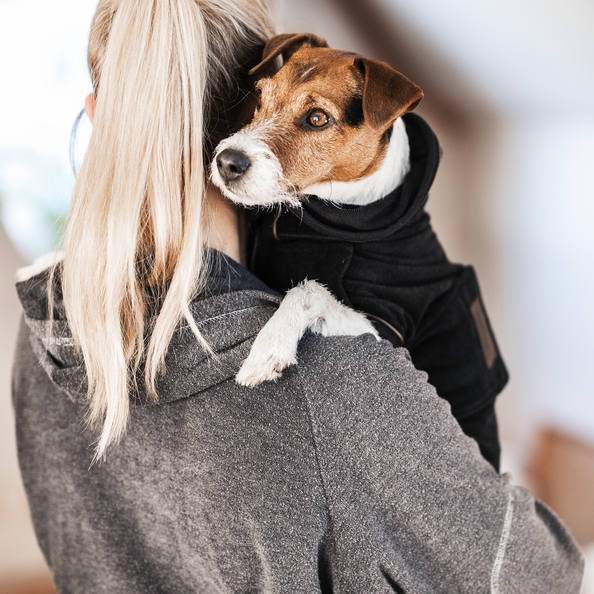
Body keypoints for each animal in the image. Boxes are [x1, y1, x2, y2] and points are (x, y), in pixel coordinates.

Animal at [210, 33, 424, 384]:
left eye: (317, 118)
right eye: (260, 98)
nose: (227, 162)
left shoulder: (383, 328)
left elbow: (309, 290)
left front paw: (269, 348)